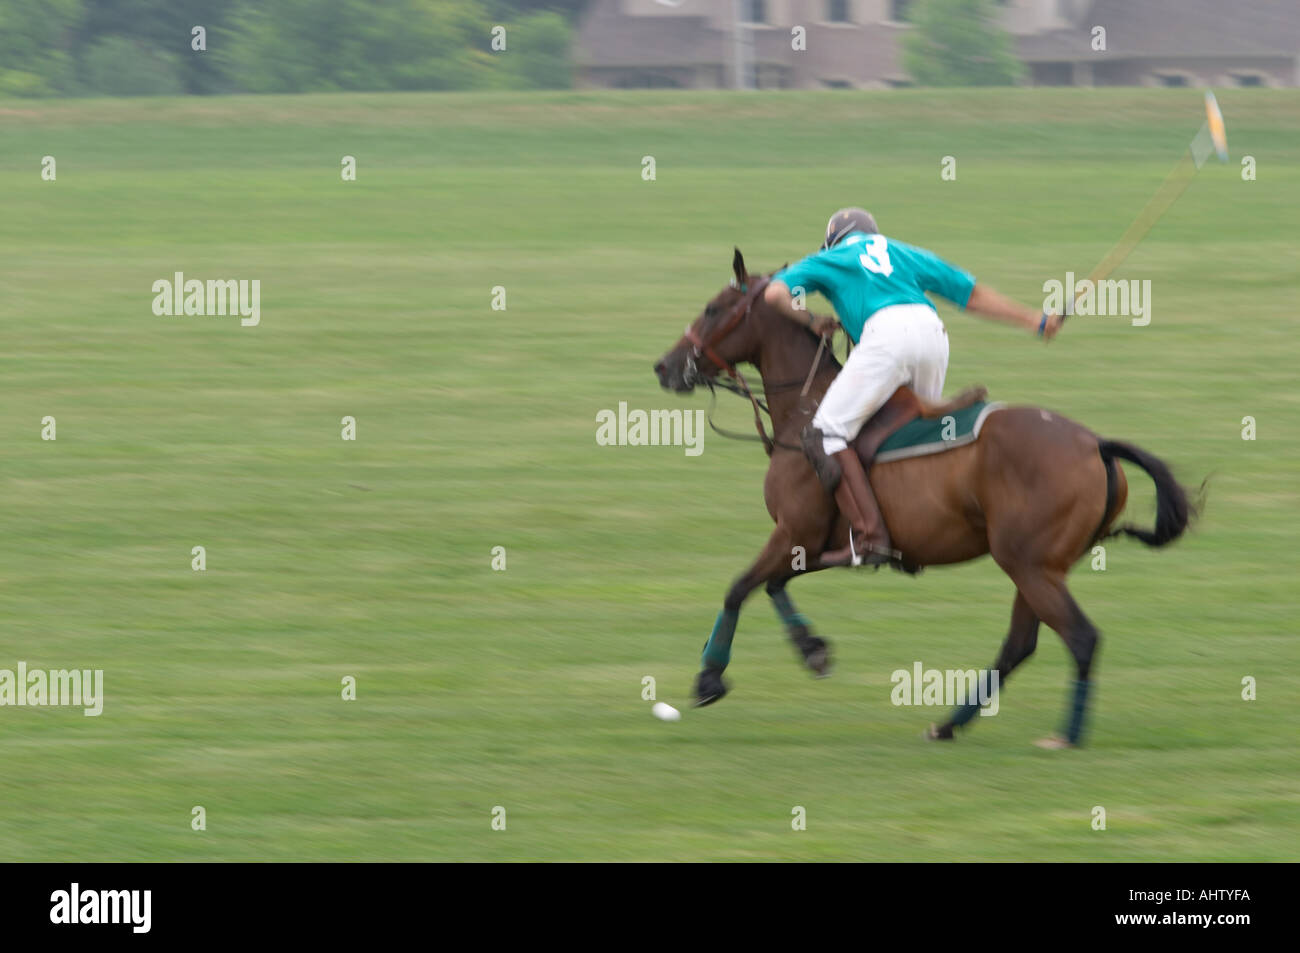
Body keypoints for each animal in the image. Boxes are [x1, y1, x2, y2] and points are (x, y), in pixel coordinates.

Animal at [655, 249, 1190, 748]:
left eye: (713, 308)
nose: (665, 367)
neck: (804, 410)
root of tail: (1097, 444)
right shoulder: (817, 545)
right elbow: (771, 585)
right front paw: (812, 649)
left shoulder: (795, 531)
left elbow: (739, 587)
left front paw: (709, 678)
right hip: (1039, 565)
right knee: (1019, 644)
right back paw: (949, 725)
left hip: (1029, 564)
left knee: (1080, 637)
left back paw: (1066, 736)